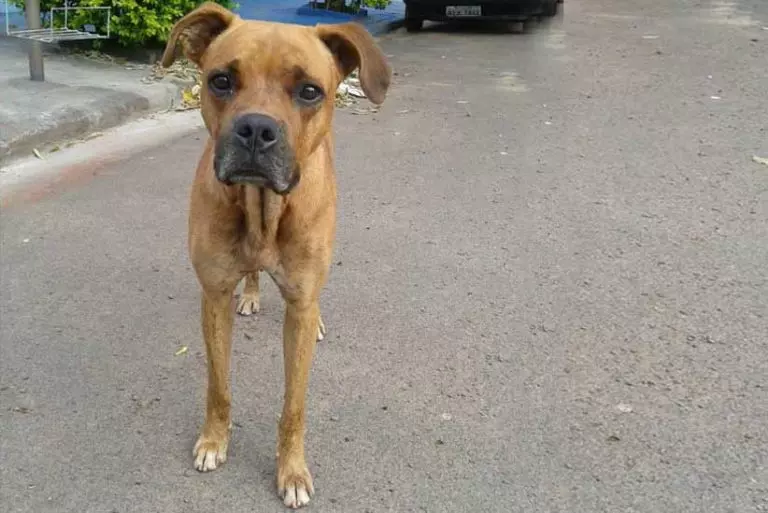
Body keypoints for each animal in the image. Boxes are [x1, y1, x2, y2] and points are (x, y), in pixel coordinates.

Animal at [160, 3, 391, 508]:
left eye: (309, 91)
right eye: (221, 80)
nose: (256, 129)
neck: (261, 206)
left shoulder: (300, 306)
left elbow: (294, 405)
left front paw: (292, 470)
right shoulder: (213, 296)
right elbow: (219, 385)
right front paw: (214, 440)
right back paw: (251, 293)